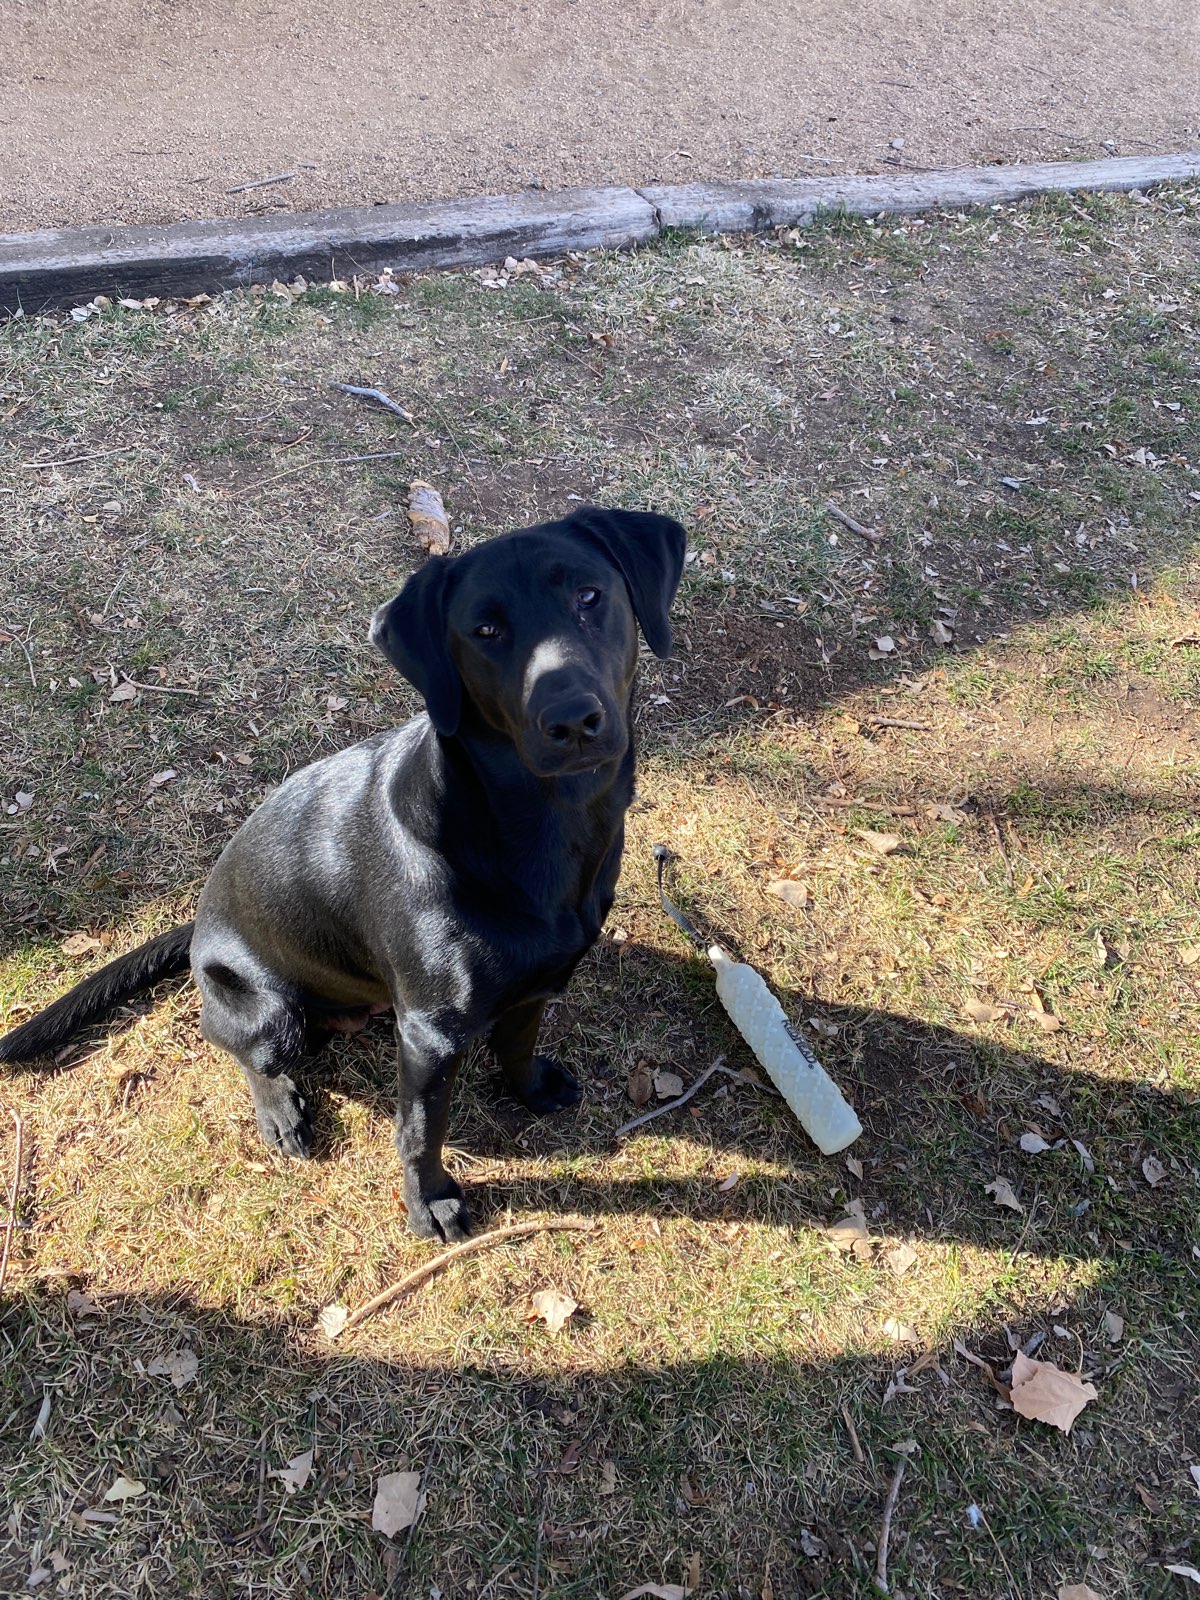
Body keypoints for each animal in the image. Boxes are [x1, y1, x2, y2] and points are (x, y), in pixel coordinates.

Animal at [2, 505, 684, 1241]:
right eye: (485, 630)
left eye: (589, 596)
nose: (572, 720)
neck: (545, 823)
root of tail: (200, 922)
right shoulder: (431, 1035)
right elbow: (419, 1131)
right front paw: (429, 1203)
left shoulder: (538, 982)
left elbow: (520, 1042)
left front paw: (530, 1090)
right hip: (271, 1015)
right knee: (230, 1041)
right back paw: (279, 1110)